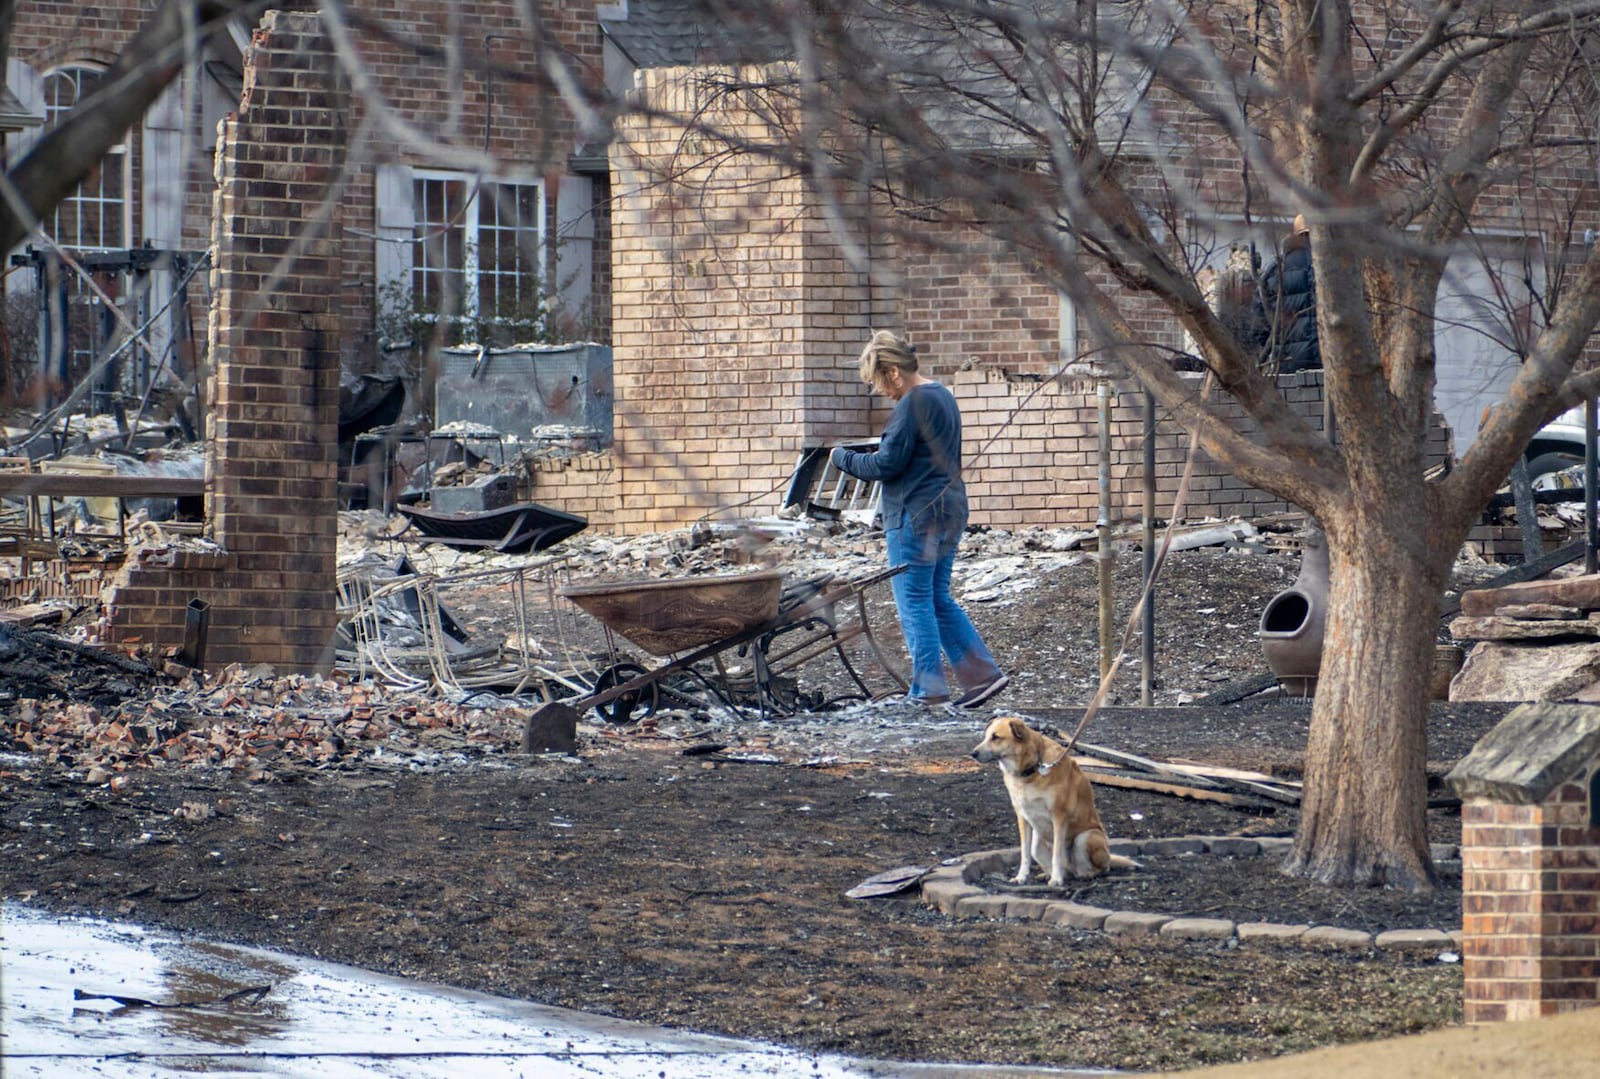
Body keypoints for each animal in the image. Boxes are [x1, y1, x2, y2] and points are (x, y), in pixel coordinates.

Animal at [960, 713, 1139, 883]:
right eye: (985, 736)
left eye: (995, 737)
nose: (972, 753)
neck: (1031, 770)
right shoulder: (1022, 817)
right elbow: (1025, 854)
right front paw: (1021, 877)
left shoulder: (1059, 816)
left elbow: (1056, 855)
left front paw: (1056, 880)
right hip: (1038, 845)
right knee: (1059, 866)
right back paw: (1049, 875)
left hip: (1086, 837)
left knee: (1099, 868)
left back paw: (1082, 875)